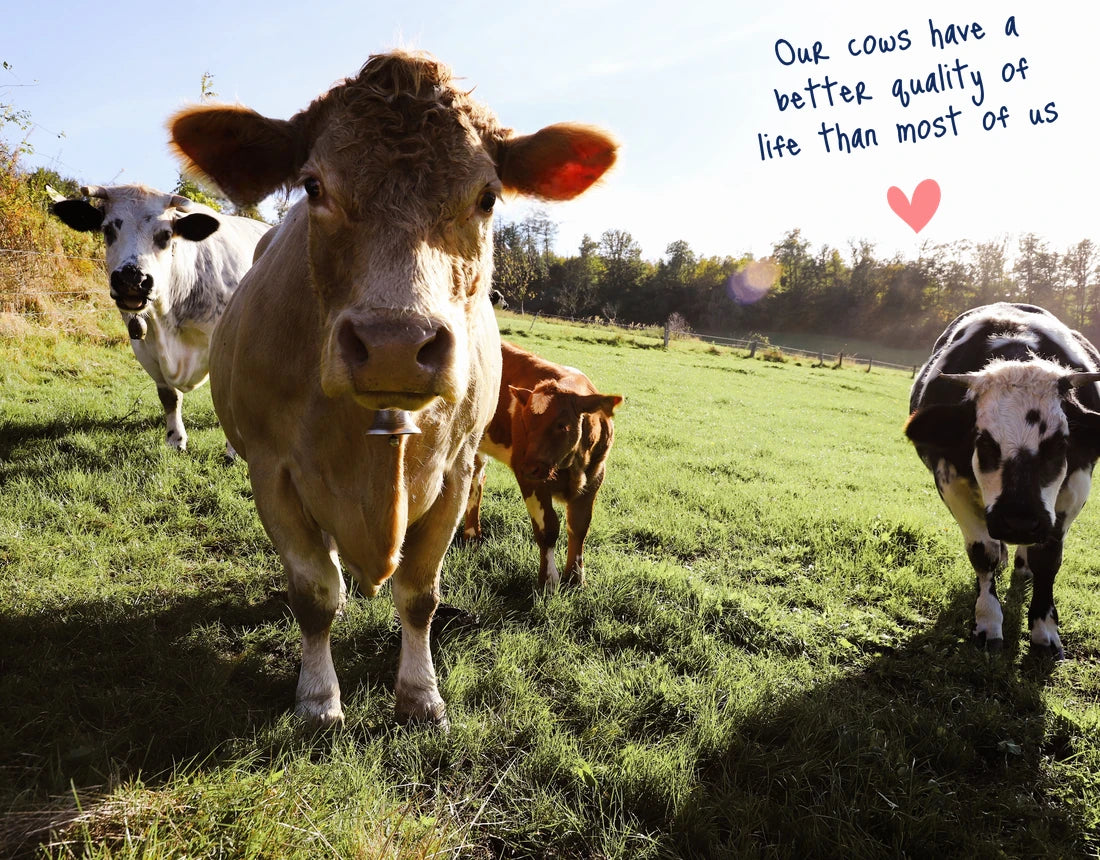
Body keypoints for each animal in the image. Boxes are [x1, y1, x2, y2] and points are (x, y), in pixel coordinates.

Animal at [51, 185, 268, 451]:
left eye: (165, 235)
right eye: (108, 229)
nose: (132, 278)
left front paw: (233, 449)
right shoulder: (146, 347)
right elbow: (169, 396)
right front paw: (175, 438)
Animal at [463, 341, 621, 591]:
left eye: (562, 425)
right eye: (524, 422)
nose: (529, 467)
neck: (572, 466)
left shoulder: (595, 477)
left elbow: (579, 526)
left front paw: (576, 579)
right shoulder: (530, 479)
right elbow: (547, 528)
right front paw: (548, 581)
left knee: (476, 479)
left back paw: (472, 535)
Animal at [906, 303, 1100, 658]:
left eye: (1060, 443)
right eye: (983, 441)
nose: (1019, 522)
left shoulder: (1076, 487)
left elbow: (1048, 558)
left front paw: (1044, 630)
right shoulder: (950, 482)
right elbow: (984, 552)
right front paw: (988, 621)